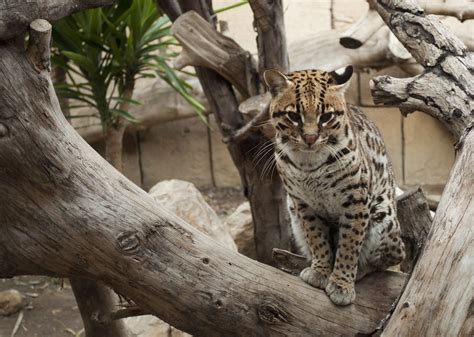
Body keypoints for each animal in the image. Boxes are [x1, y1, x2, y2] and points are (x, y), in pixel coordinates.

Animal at [262, 65, 404, 304]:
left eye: (326, 117)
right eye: (294, 116)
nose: (310, 139)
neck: (308, 162)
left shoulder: (356, 200)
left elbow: (350, 243)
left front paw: (342, 283)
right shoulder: (302, 202)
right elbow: (316, 238)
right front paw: (320, 270)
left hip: (383, 215)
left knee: (392, 257)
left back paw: (360, 269)